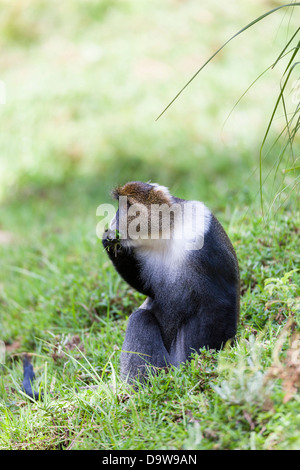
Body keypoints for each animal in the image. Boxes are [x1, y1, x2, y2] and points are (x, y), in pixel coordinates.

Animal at [102, 182, 240, 384]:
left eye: (127, 204)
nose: (114, 220)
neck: (165, 232)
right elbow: (148, 290)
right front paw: (110, 243)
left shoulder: (201, 236)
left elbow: (220, 301)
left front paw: (205, 361)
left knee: (140, 319)